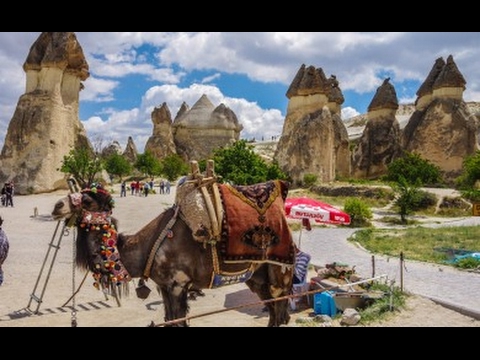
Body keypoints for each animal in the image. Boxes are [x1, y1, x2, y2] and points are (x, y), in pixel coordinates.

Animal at [53, 181, 296, 328]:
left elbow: (178, 320)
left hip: (280, 272)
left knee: (279, 308)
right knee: (273, 311)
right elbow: (169, 319)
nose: (57, 206)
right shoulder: (164, 286)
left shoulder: (178, 284)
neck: (145, 249)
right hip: (257, 277)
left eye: (87, 201)